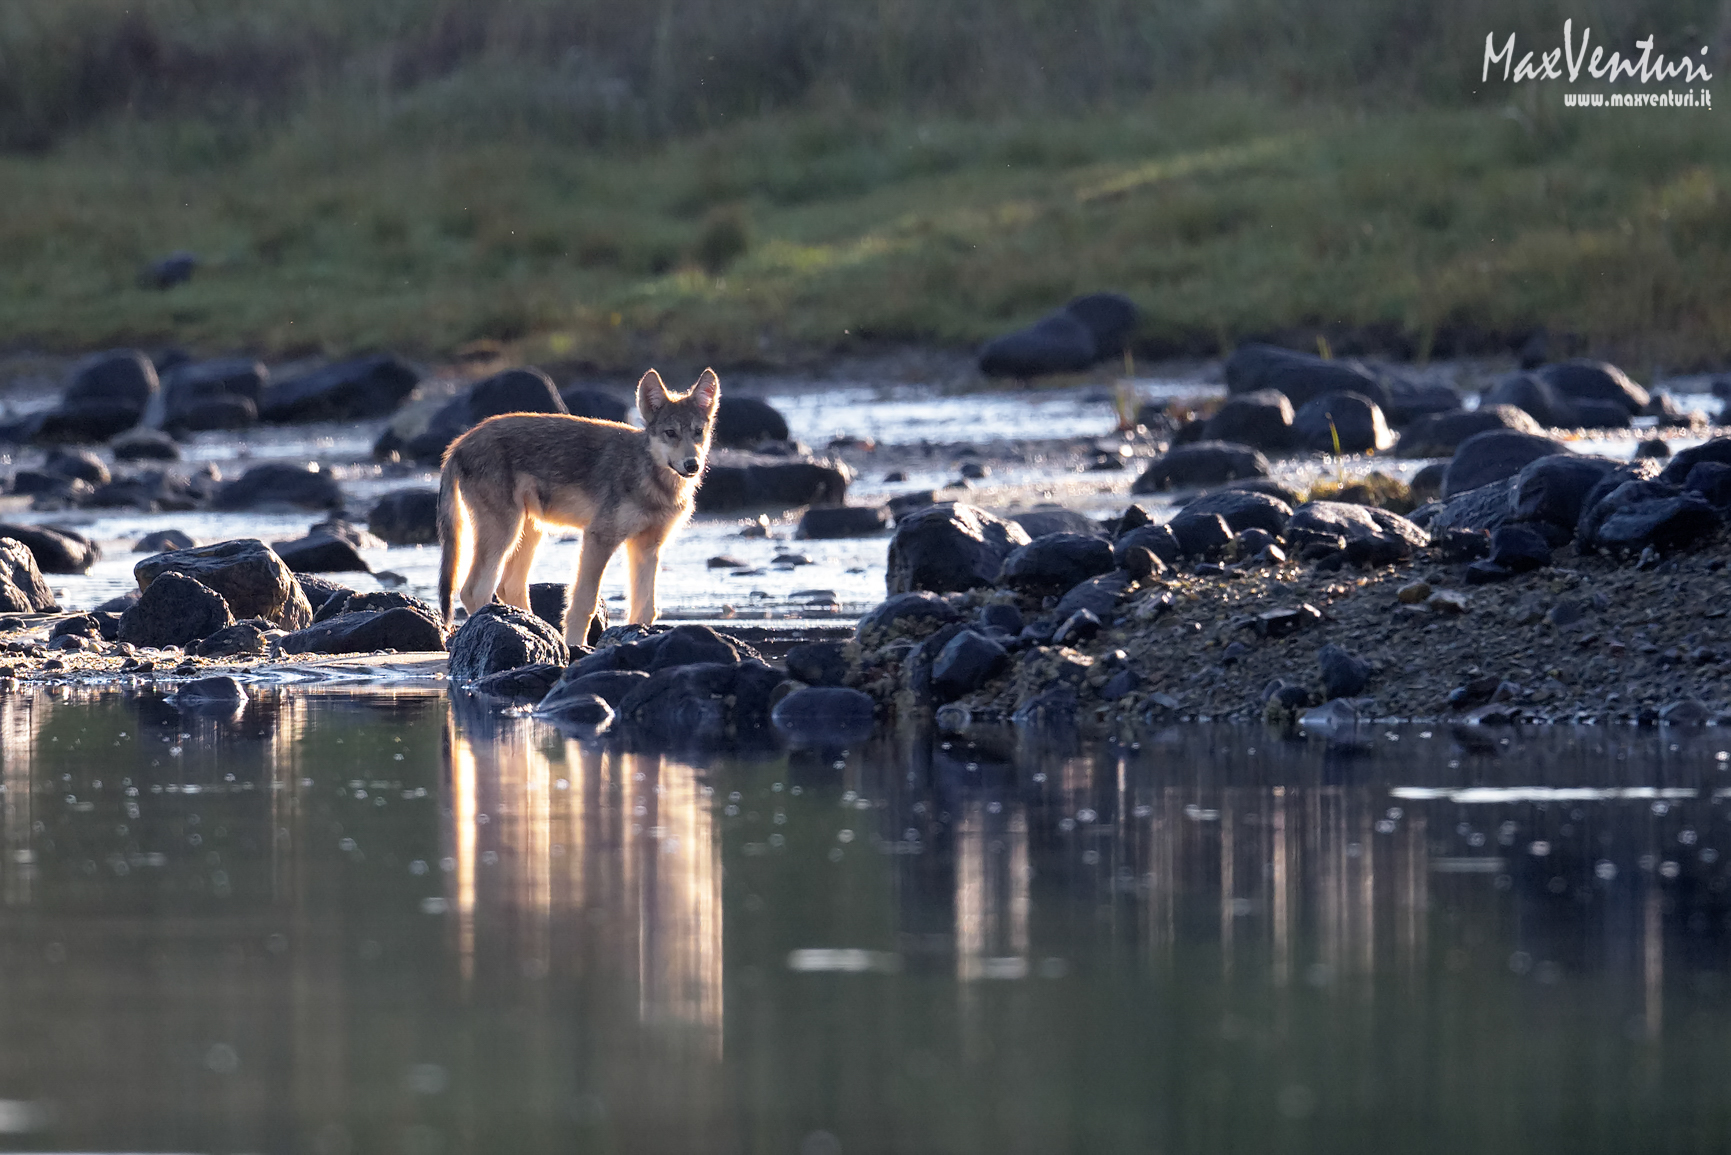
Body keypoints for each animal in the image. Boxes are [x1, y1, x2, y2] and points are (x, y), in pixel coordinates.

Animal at [437, 368, 719, 647]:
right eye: (670, 433)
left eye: (698, 432)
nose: (692, 464)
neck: (649, 476)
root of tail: (458, 443)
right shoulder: (599, 538)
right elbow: (584, 603)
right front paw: (575, 645)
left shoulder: (647, 547)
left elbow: (645, 609)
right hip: (506, 534)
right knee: (473, 590)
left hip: (530, 532)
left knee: (508, 586)